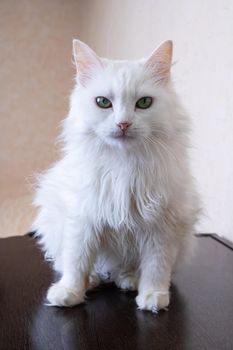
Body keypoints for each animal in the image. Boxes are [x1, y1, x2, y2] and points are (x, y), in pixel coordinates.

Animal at [31, 38, 200, 312]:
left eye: (144, 103)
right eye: (103, 102)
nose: (123, 124)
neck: (123, 164)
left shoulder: (161, 226)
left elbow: (156, 268)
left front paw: (153, 297)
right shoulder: (83, 219)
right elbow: (76, 262)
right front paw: (69, 293)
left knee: (129, 269)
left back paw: (129, 281)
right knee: (81, 265)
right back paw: (92, 281)